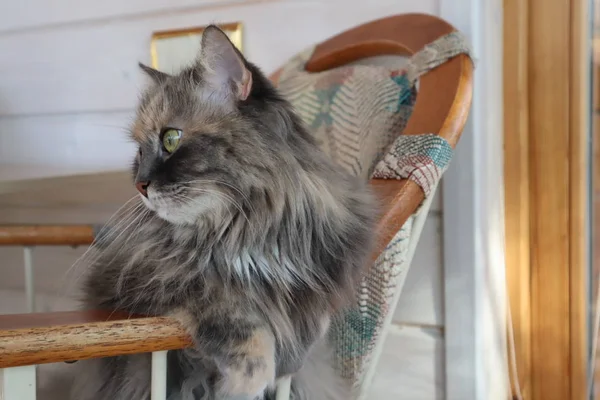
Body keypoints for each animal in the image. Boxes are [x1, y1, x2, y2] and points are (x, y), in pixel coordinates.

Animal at [70, 25, 378, 400]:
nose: (140, 184)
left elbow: (311, 315)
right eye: (139, 152)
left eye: (171, 138)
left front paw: (293, 353)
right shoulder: (147, 281)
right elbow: (226, 307)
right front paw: (249, 378)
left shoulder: (326, 265)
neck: (243, 229)